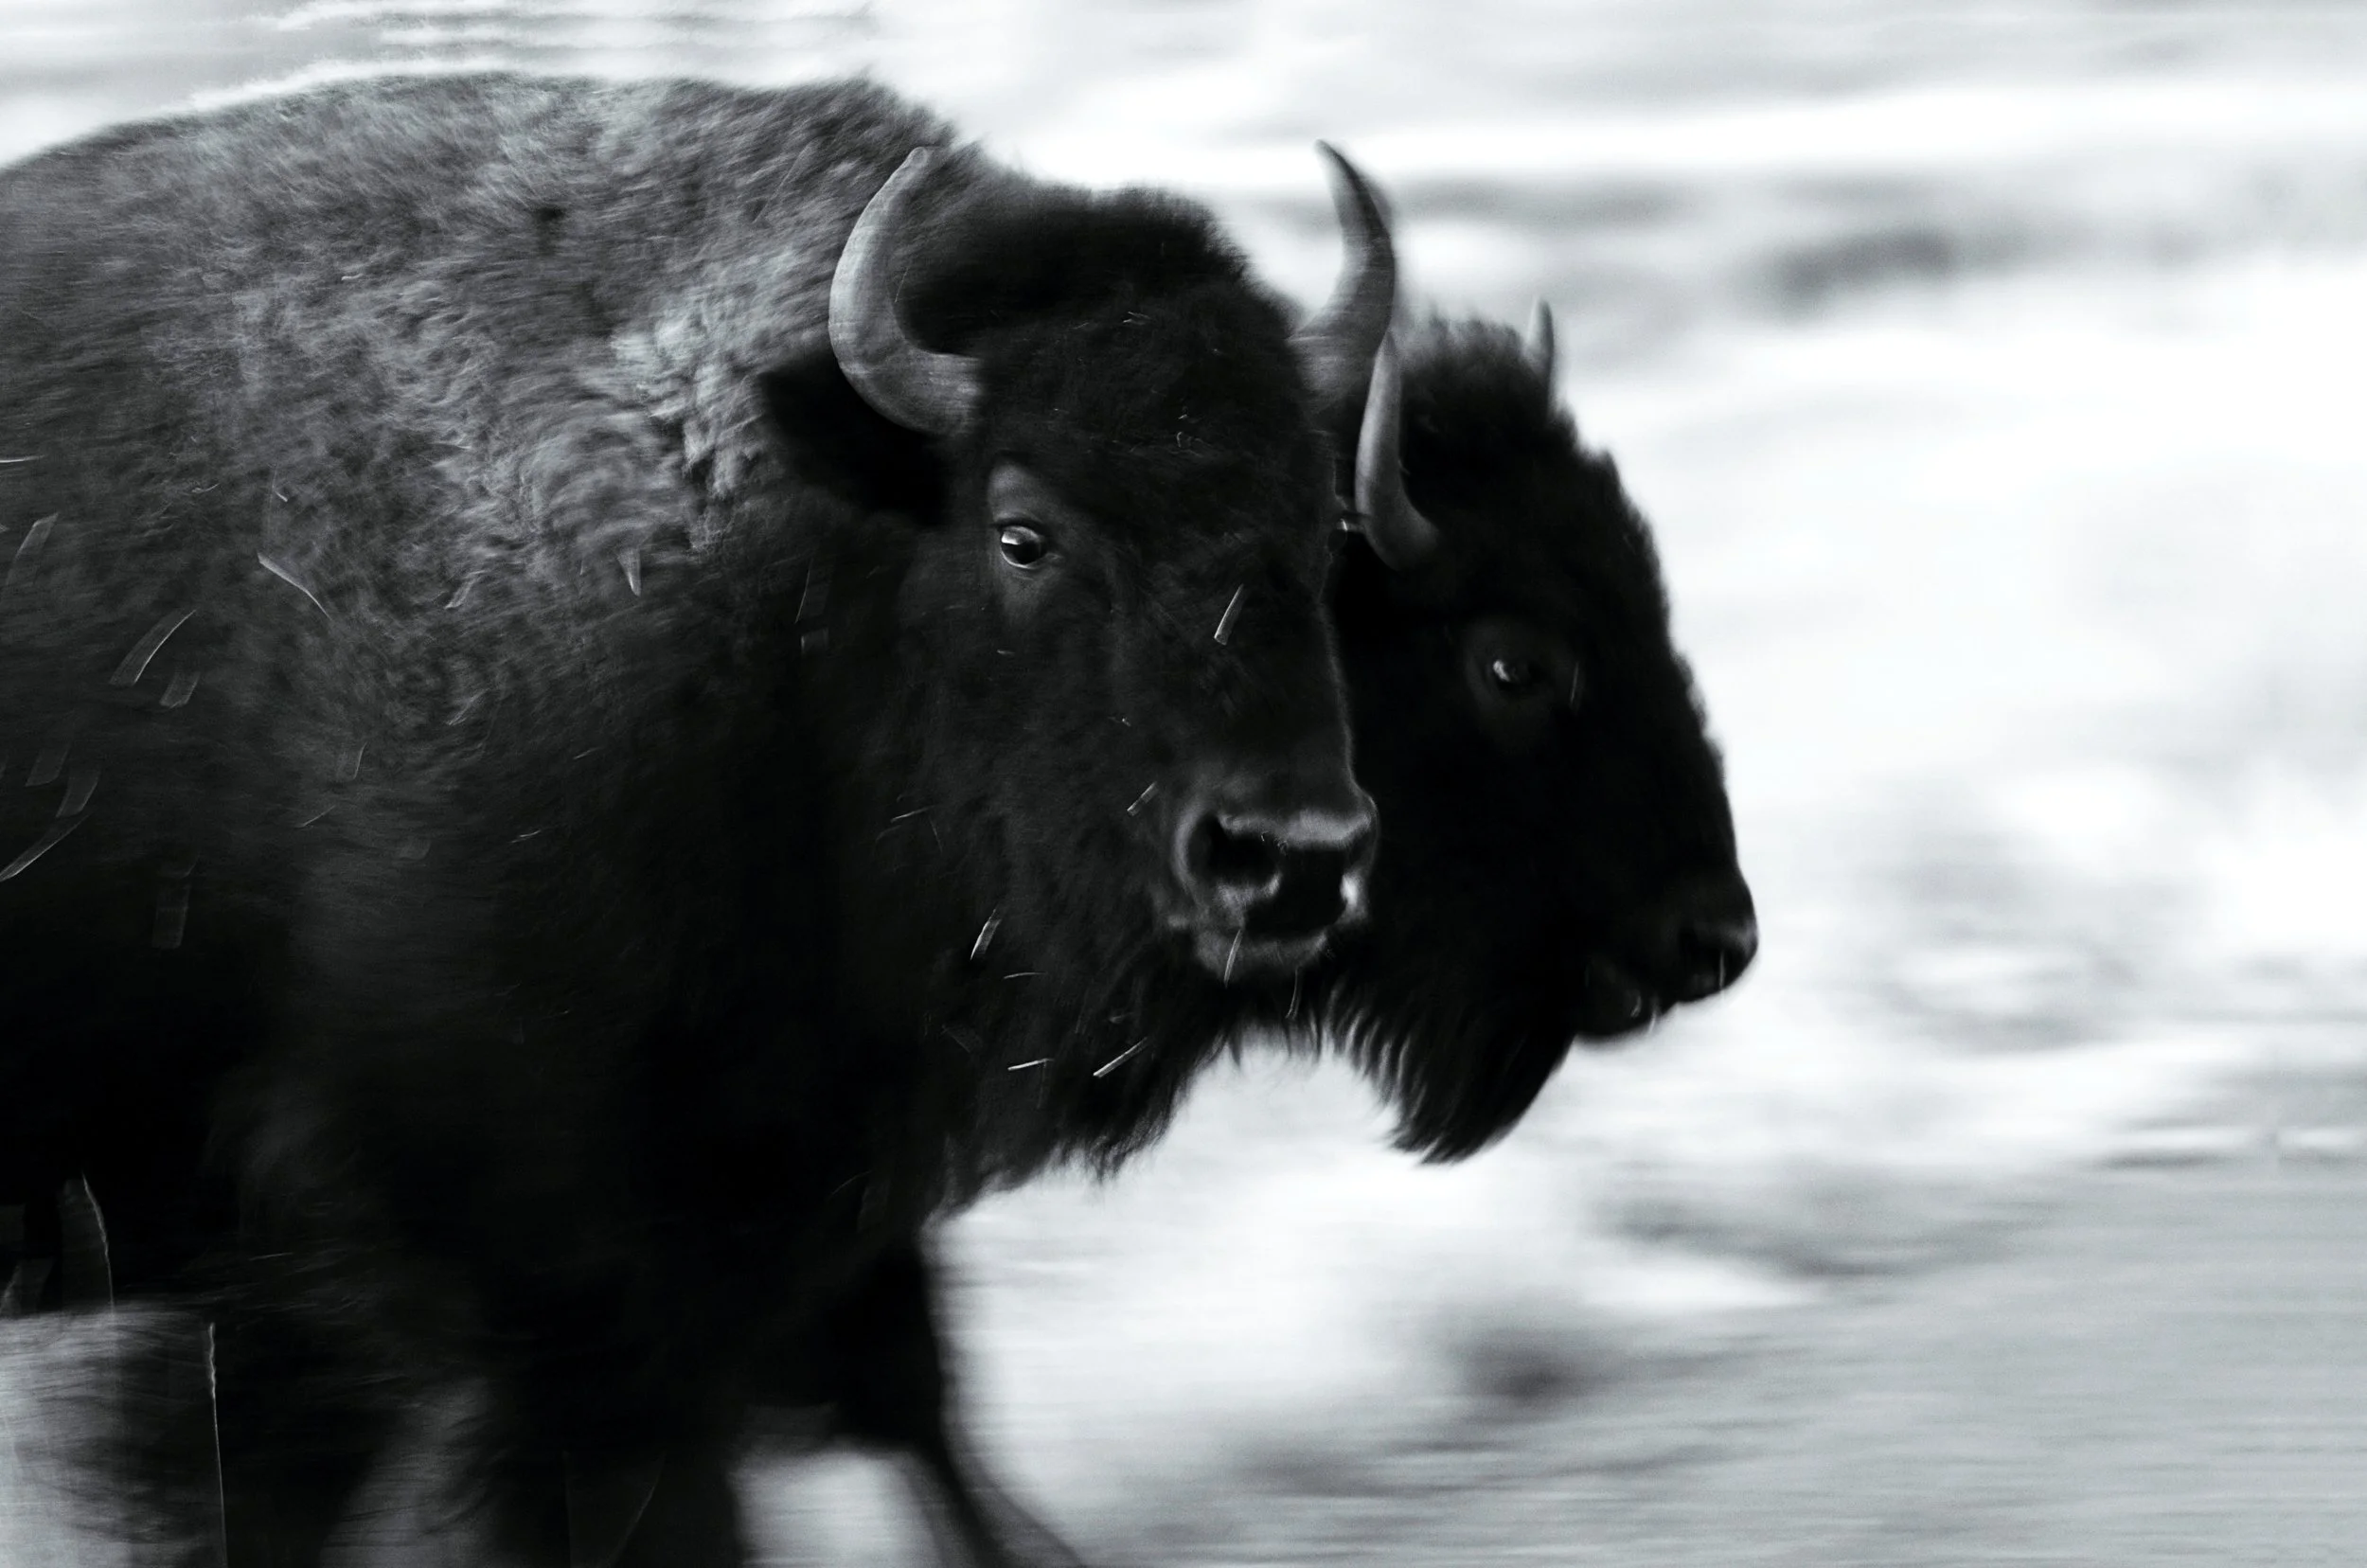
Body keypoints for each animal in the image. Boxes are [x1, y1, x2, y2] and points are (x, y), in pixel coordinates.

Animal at [0, 72, 1392, 1566]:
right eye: (1023, 532)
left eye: (1324, 533)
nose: (1287, 857)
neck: (784, 566)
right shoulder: (514, 1260)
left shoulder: (802, 1193)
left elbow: (914, 1398)